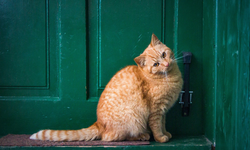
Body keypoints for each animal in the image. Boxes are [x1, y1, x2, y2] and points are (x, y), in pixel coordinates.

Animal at [30, 33, 183, 143]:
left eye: (164, 54)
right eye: (156, 64)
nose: (166, 64)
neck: (170, 77)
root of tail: (98, 123)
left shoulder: (163, 111)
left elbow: (163, 124)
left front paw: (166, 133)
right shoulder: (156, 110)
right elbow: (157, 126)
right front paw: (160, 138)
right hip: (134, 119)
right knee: (112, 138)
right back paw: (142, 136)